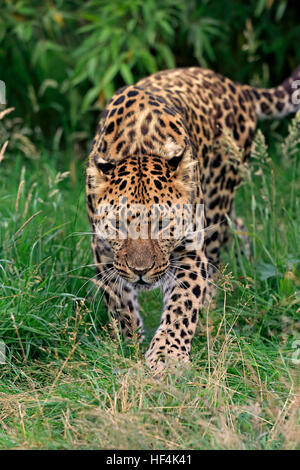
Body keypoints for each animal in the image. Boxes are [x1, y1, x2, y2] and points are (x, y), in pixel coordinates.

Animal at [85, 65, 300, 374]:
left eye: (162, 225)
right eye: (118, 225)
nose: (140, 271)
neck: (139, 147)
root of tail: (235, 86)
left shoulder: (189, 250)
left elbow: (181, 306)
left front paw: (167, 355)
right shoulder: (103, 251)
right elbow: (119, 302)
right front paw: (129, 343)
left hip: (216, 203)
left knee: (216, 256)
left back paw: (211, 307)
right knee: (239, 228)